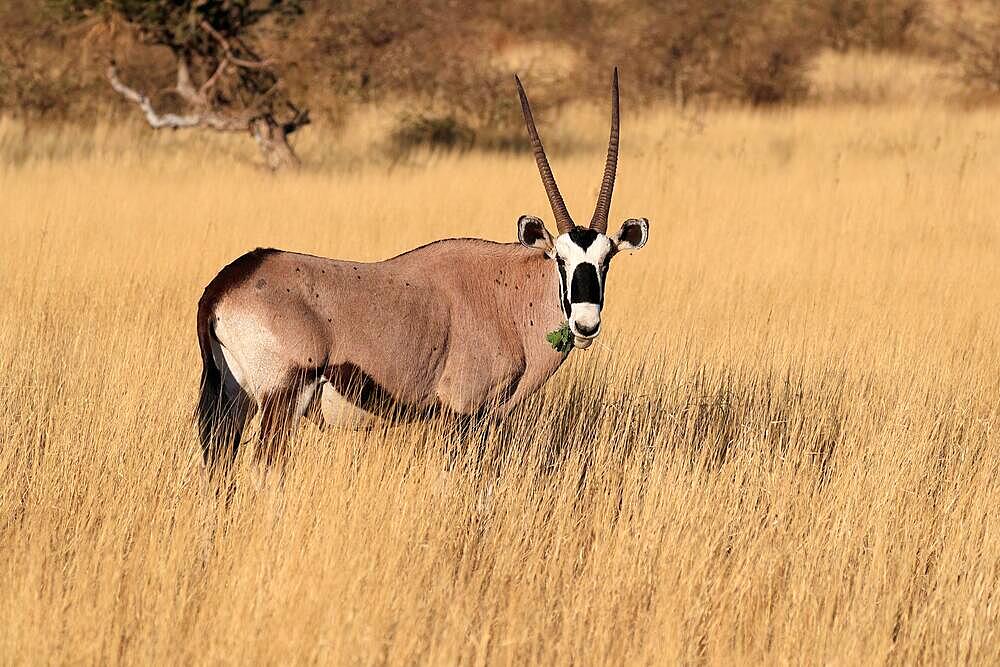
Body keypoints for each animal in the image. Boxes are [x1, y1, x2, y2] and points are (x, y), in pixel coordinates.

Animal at [197, 65, 648, 468]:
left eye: (606, 260)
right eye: (560, 259)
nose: (586, 324)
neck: (508, 298)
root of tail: (226, 285)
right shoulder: (463, 411)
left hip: (234, 401)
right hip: (282, 396)